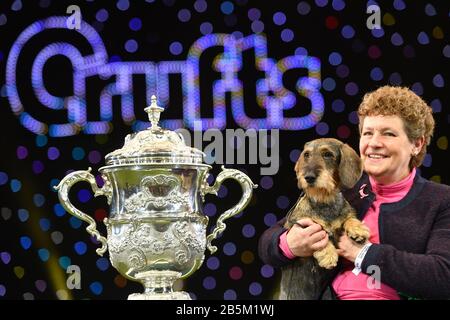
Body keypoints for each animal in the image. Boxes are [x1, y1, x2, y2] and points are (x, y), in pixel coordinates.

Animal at [280, 138, 370, 300]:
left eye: (327, 154)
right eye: (307, 155)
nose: (308, 177)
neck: (324, 200)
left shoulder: (344, 215)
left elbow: (348, 218)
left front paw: (358, 230)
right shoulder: (299, 224)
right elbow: (321, 232)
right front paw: (328, 255)